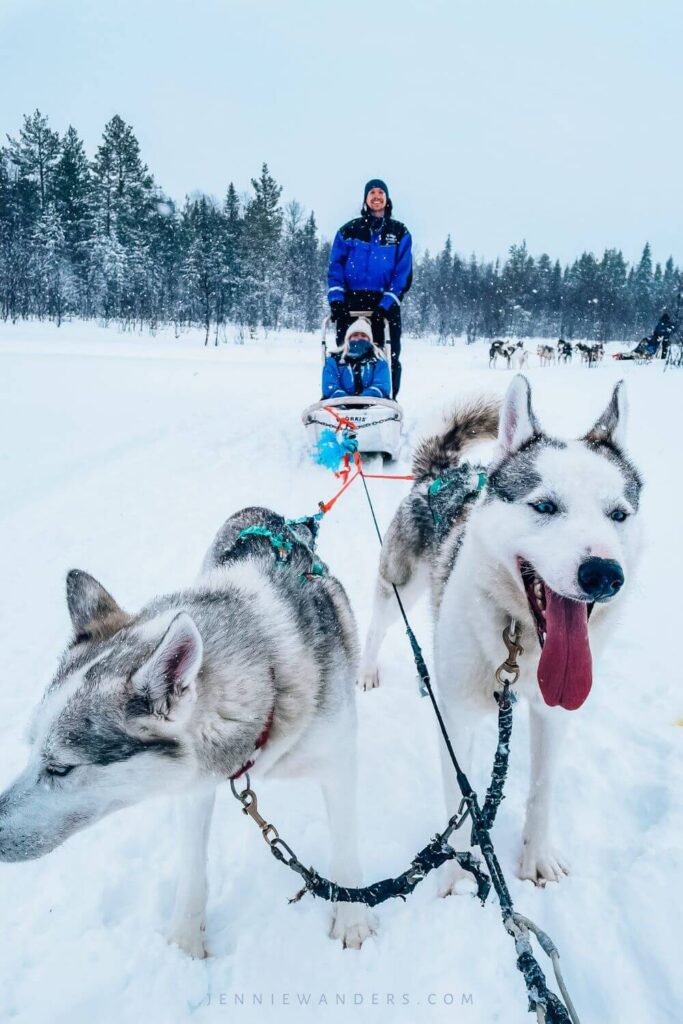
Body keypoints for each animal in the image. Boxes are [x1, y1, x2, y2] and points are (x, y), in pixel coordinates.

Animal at [0, 512, 374, 958]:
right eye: (30, 748)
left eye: (59, 768)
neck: (270, 682)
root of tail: (270, 514)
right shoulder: (196, 784)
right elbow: (194, 869)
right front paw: (185, 939)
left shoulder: (338, 765)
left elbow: (346, 849)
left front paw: (352, 916)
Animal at [360, 376, 643, 888]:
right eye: (545, 505)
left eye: (618, 514)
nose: (604, 574)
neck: (521, 646)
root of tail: (441, 473)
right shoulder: (458, 718)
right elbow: (461, 797)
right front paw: (457, 876)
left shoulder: (554, 714)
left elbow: (542, 789)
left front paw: (537, 857)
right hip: (398, 588)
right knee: (378, 626)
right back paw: (370, 670)